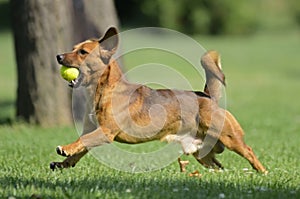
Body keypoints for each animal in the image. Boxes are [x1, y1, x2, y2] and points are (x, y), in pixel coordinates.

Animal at [49, 27, 268, 173]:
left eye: (82, 52)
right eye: (73, 48)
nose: (58, 56)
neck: (100, 91)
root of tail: (207, 96)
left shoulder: (105, 132)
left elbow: (82, 141)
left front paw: (66, 148)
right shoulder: (92, 130)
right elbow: (81, 148)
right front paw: (64, 163)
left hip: (230, 138)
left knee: (249, 151)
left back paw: (262, 172)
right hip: (202, 153)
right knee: (218, 166)